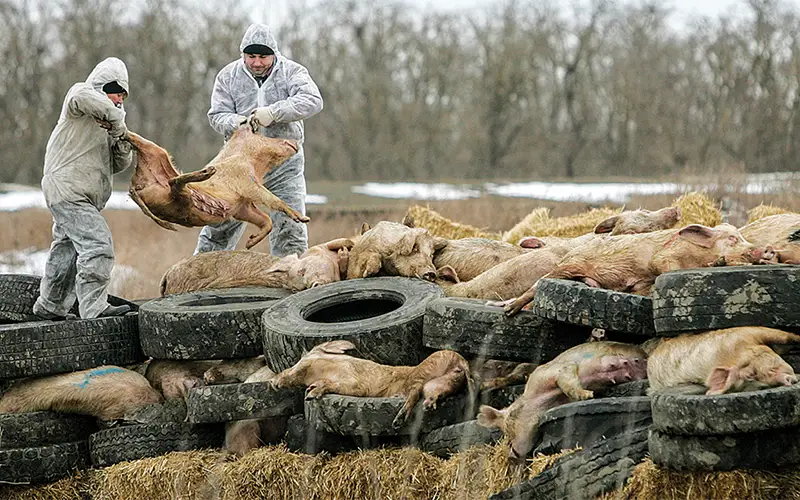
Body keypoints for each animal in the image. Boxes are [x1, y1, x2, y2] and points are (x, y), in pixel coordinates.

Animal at [478, 340, 648, 460]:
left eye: (508, 426)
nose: (511, 455)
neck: (546, 402)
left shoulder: (554, 371)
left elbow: (566, 380)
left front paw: (588, 395)